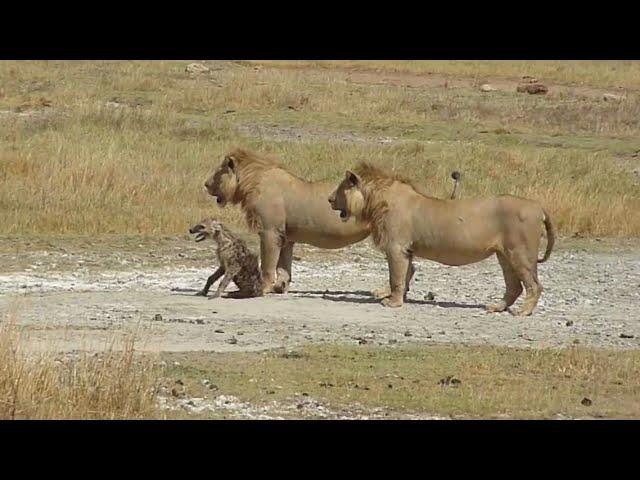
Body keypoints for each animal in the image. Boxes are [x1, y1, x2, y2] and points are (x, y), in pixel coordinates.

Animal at [328, 163, 552, 316]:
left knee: (534, 285)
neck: (375, 201)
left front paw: (393, 302)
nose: (329, 200)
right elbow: (406, 274)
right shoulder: (407, 249)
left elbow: (396, 277)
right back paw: (496, 306)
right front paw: (395, 296)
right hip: (504, 255)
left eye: (340, 188)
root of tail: (538, 207)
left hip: (520, 253)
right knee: (515, 286)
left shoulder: (396, 247)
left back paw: (523, 312)